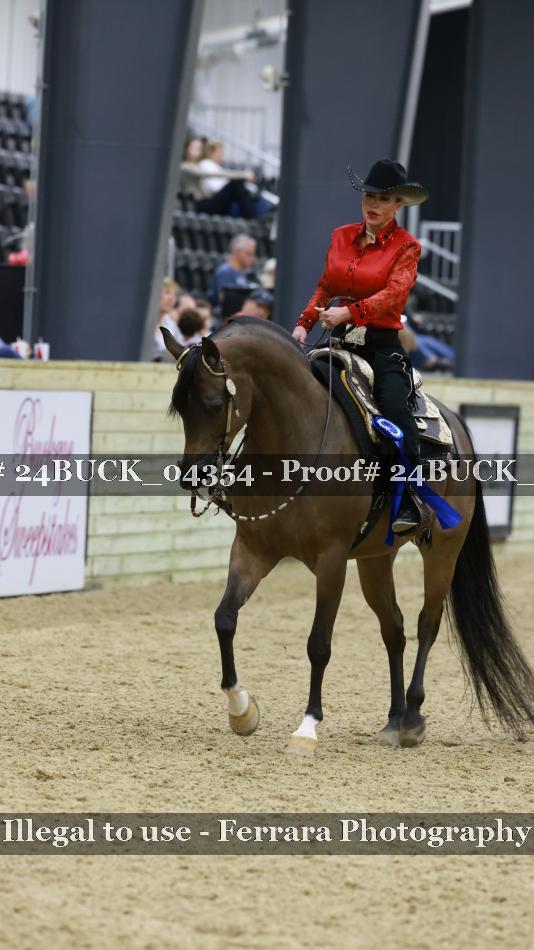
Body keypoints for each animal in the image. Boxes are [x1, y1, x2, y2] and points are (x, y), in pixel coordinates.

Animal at [161, 318, 534, 754]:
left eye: (213, 404)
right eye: (179, 406)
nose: (193, 475)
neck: (297, 438)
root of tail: (456, 426)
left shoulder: (332, 560)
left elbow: (318, 643)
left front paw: (307, 727)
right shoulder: (253, 550)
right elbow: (224, 618)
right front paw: (242, 711)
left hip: (444, 550)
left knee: (427, 623)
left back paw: (412, 717)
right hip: (376, 560)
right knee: (394, 628)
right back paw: (394, 719)